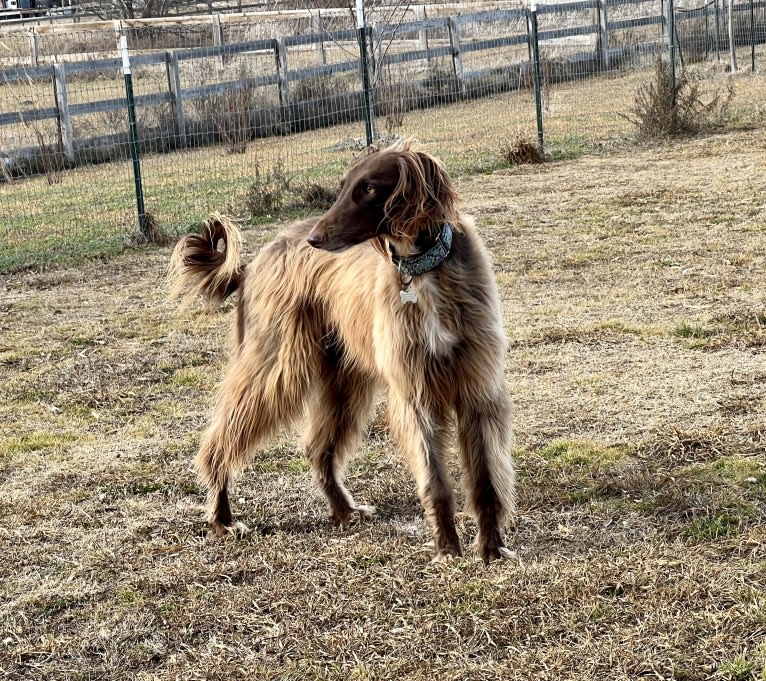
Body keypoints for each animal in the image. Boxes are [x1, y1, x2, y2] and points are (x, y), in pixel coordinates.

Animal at [168, 139, 516, 564]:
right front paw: (447, 548)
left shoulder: (476, 386)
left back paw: (343, 510)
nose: (315, 239)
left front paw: (492, 548)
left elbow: (484, 479)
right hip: (277, 365)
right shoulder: (414, 391)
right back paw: (222, 518)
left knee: (318, 447)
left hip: (343, 378)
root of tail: (251, 266)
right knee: (223, 439)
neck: (422, 269)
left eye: (368, 188)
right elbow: (435, 479)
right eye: (344, 185)